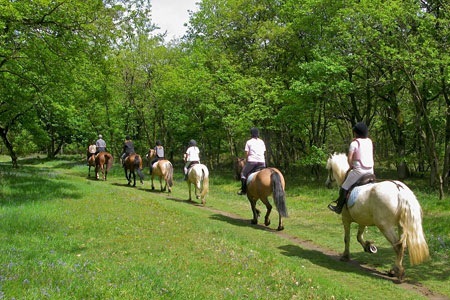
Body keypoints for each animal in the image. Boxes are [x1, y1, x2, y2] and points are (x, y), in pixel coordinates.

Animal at [326, 152, 428, 282]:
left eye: (329, 169)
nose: (327, 184)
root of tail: (400, 190)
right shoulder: (362, 220)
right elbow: (359, 237)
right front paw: (369, 247)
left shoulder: (346, 219)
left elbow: (347, 238)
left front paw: (345, 256)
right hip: (401, 226)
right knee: (402, 246)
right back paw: (394, 270)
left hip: (385, 226)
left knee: (398, 246)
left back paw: (397, 272)